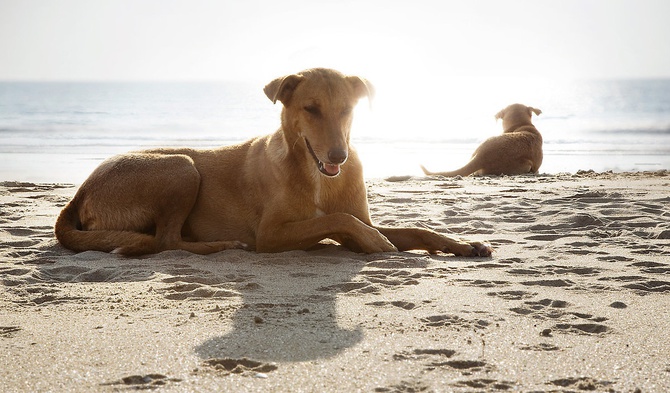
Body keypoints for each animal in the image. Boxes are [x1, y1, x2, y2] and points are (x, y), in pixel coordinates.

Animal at [56, 67, 494, 258]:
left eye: (347, 110)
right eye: (311, 109)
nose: (339, 156)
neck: (318, 176)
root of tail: (77, 194)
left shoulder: (360, 214)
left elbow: (416, 228)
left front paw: (461, 244)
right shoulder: (271, 234)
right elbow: (336, 220)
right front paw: (373, 243)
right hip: (181, 166)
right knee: (166, 241)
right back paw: (222, 245)